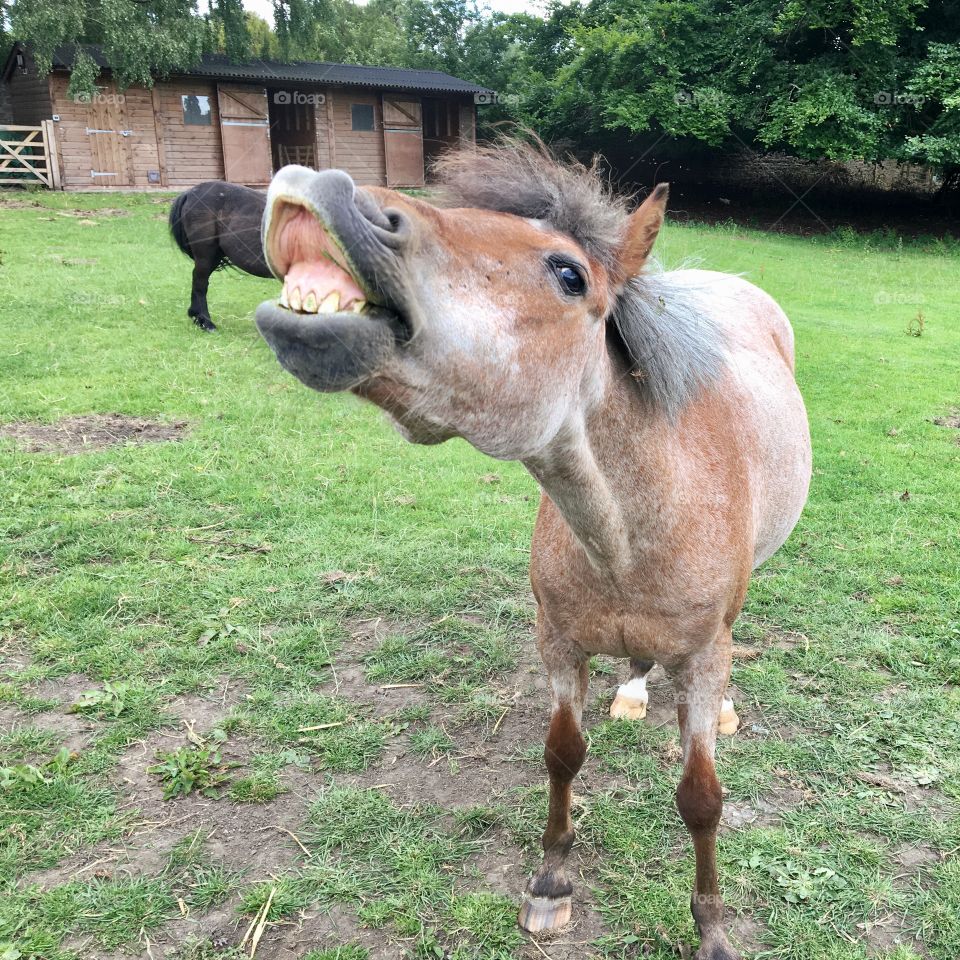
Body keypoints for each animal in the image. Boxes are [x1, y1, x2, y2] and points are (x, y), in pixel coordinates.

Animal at [251, 144, 808, 960]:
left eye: (569, 274)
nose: (319, 188)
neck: (629, 534)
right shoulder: (559, 642)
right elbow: (562, 755)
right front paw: (550, 884)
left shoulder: (703, 655)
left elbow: (701, 798)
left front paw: (710, 928)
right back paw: (634, 692)